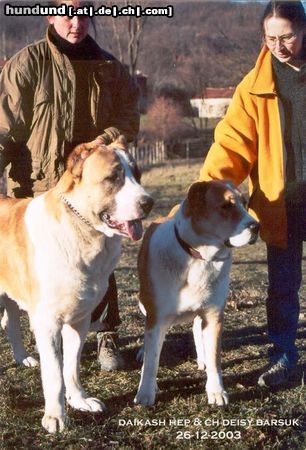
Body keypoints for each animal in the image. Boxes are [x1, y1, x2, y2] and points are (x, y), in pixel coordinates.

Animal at [0, 136, 153, 432]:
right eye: (113, 178)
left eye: (137, 174)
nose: (148, 203)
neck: (82, 230)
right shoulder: (47, 323)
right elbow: (54, 374)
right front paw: (55, 415)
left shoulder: (79, 320)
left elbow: (70, 367)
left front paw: (79, 400)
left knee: (11, 323)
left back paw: (22, 358)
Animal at [134, 180, 258, 408]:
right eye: (226, 206)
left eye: (244, 203)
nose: (256, 226)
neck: (198, 258)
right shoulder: (156, 318)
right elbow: (151, 360)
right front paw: (146, 393)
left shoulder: (213, 316)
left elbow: (215, 358)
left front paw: (216, 391)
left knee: (196, 328)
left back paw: (202, 358)